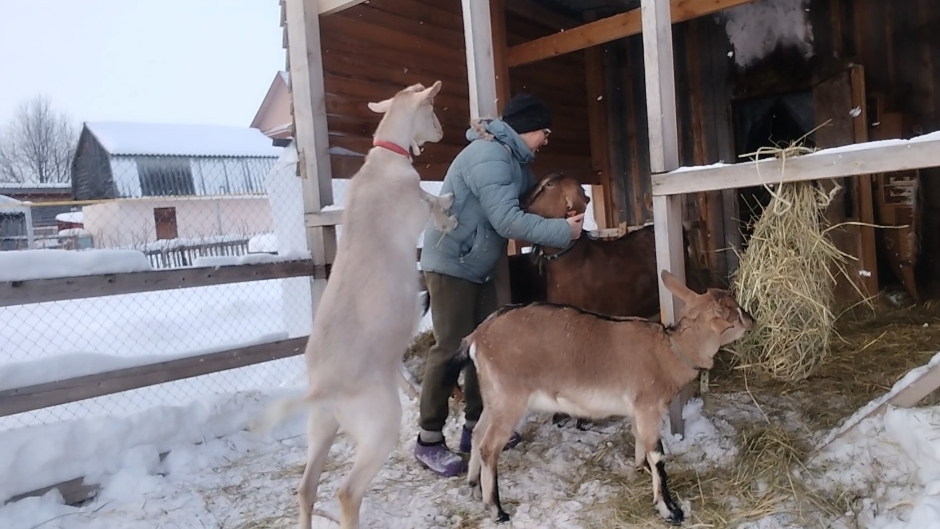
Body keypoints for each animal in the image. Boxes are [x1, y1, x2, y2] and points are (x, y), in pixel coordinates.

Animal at [250, 81, 456, 529]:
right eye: (433, 110)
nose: (441, 131)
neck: (385, 159)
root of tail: (325, 387)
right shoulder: (412, 204)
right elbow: (429, 201)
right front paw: (448, 209)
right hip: (378, 425)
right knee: (347, 492)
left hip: (321, 426)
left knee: (306, 487)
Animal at [452, 270, 754, 525]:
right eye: (736, 311)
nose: (752, 319)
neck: (668, 351)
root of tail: (477, 337)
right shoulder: (649, 406)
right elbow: (658, 455)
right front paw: (670, 510)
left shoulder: (638, 410)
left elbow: (640, 442)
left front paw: (639, 468)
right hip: (509, 399)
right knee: (489, 447)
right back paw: (497, 510)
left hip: (494, 398)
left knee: (477, 433)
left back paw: (473, 485)